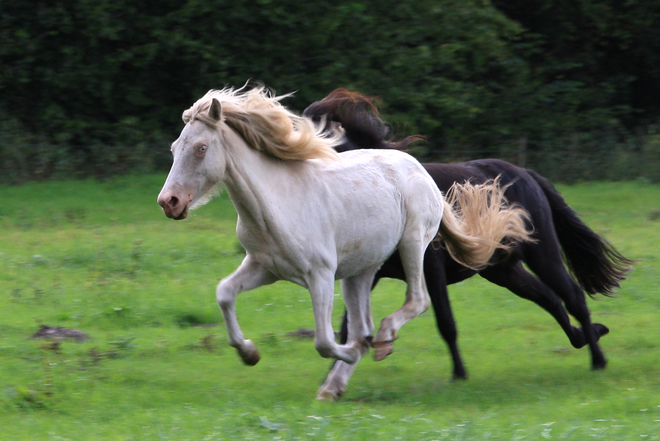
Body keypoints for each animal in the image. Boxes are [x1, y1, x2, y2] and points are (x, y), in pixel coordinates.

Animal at [157, 84, 532, 398]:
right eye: (174, 148)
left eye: (201, 148)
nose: (168, 202)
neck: (276, 203)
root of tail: (419, 169)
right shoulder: (265, 267)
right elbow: (224, 293)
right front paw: (249, 354)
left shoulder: (320, 274)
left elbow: (324, 340)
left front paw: (353, 351)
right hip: (360, 271)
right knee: (363, 322)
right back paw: (335, 385)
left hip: (412, 244)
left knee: (415, 301)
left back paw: (381, 342)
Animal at [304, 87, 636, 398]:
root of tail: (527, 175)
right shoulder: (368, 274)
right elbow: (348, 327)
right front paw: (332, 379)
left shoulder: (431, 270)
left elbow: (446, 323)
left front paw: (459, 374)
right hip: (503, 270)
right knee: (550, 300)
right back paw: (585, 338)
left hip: (543, 255)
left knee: (573, 297)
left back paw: (598, 359)